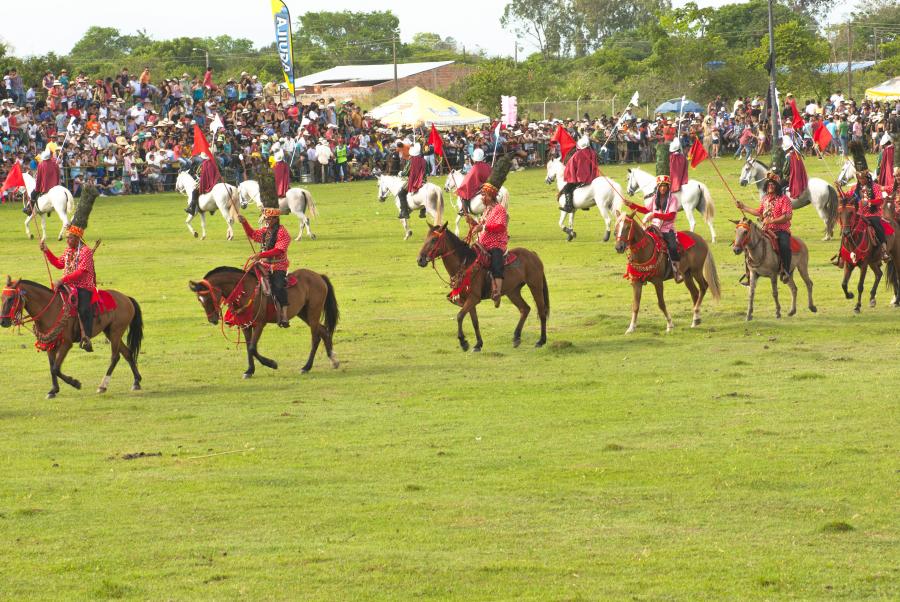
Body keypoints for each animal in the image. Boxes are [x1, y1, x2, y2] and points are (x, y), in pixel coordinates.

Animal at [0, 276, 142, 398]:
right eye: (2, 297)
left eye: (11, 298)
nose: (3, 322)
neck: (52, 309)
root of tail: (126, 298)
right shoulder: (50, 343)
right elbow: (52, 367)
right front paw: (53, 390)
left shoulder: (66, 344)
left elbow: (56, 368)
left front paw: (75, 383)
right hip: (110, 332)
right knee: (127, 353)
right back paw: (136, 382)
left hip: (115, 332)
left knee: (115, 357)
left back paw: (103, 386)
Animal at [190, 264, 342, 378]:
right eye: (199, 299)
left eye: (209, 297)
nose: (212, 319)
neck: (245, 290)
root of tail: (318, 276)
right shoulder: (245, 325)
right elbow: (249, 347)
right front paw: (249, 370)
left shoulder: (259, 324)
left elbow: (252, 348)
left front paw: (272, 364)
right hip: (304, 313)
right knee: (324, 331)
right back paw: (333, 360)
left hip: (313, 312)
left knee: (315, 338)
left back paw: (306, 367)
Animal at [416, 223, 548, 350]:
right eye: (426, 238)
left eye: (434, 239)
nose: (420, 259)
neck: (465, 263)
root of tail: (532, 254)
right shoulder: (468, 299)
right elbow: (475, 321)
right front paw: (478, 344)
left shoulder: (474, 298)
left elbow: (459, 316)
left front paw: (463, 342)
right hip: (513, 292)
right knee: (524, 309)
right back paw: (516, 338)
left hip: (535, 286)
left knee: (541, 311)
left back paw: (541, 341)